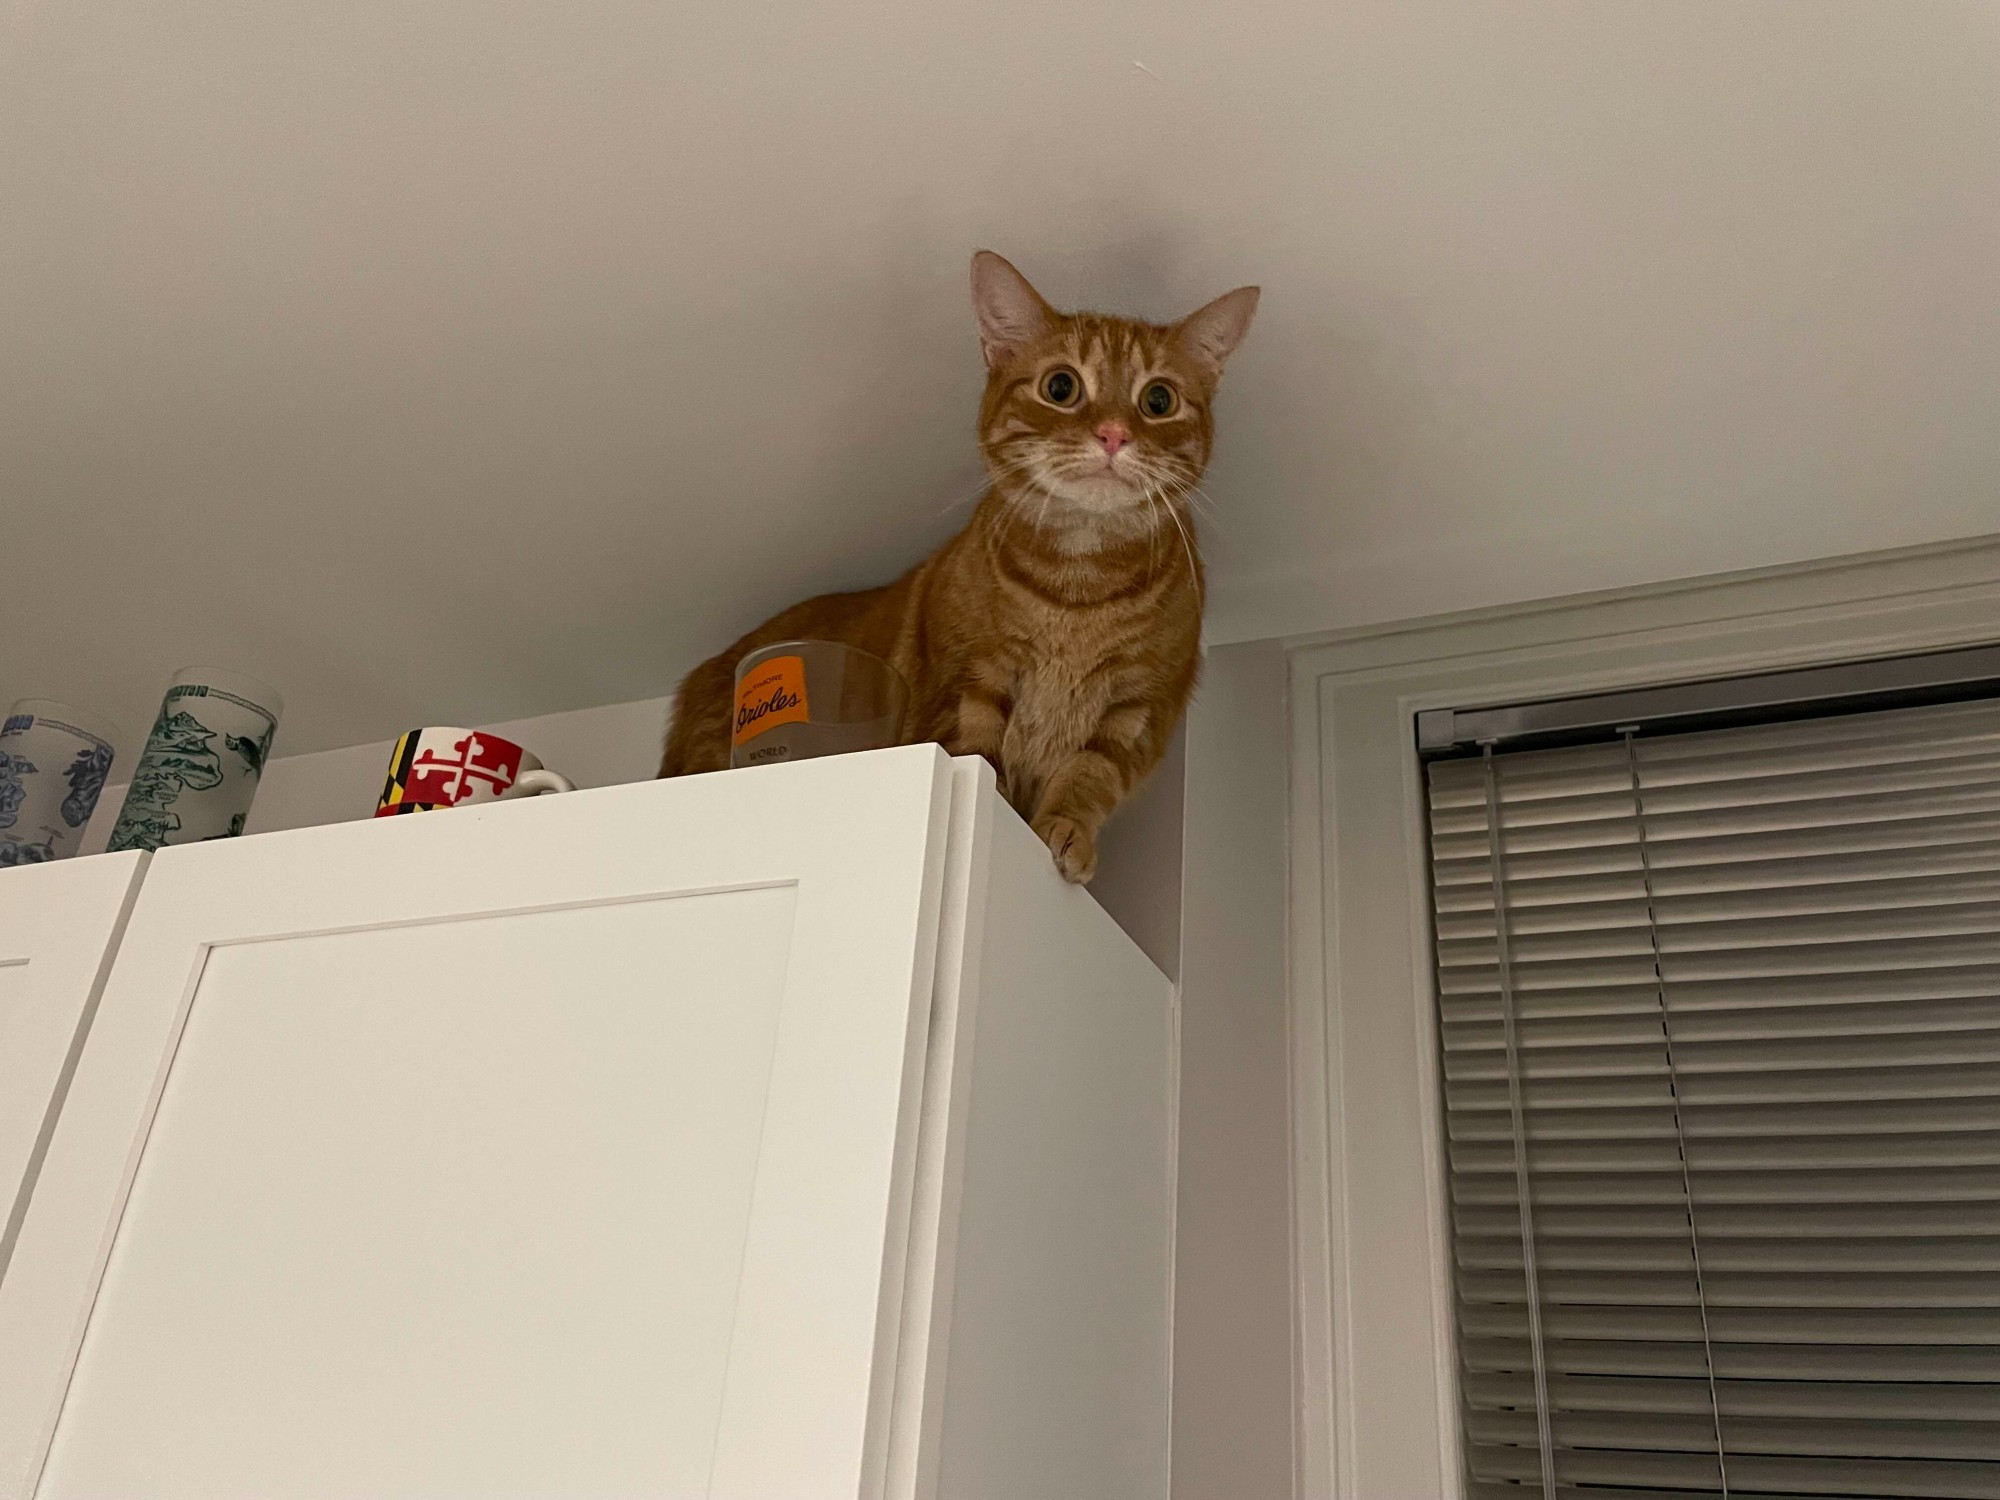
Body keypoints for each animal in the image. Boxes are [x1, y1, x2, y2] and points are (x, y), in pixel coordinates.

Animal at [664, 247, 1256, 880]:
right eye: (1061, 386)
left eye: (1159, 400)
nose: (1114, 434)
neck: (1079, 594)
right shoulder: (968, 683)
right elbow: (983, 756)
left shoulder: (1134, 712)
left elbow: (1088, 778)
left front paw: (1068, 828)